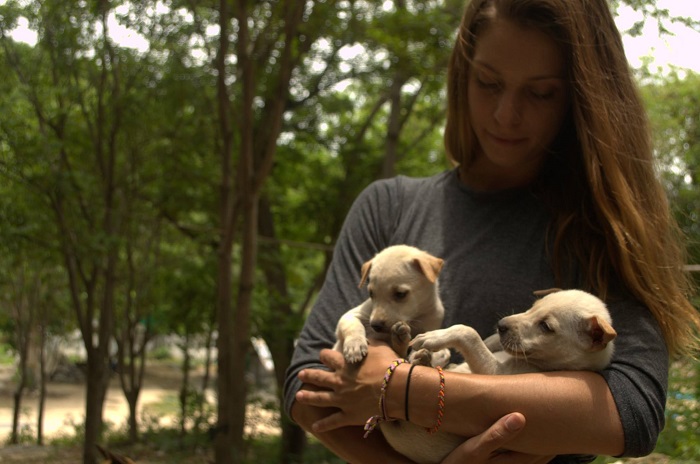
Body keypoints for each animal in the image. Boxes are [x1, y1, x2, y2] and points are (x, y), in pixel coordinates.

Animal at [382, 288, 616, 462]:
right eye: (533, 306)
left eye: (546, 326)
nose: (501, 324)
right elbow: (488, 340)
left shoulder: (496, 373)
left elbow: (469, 332)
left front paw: (437, 337)